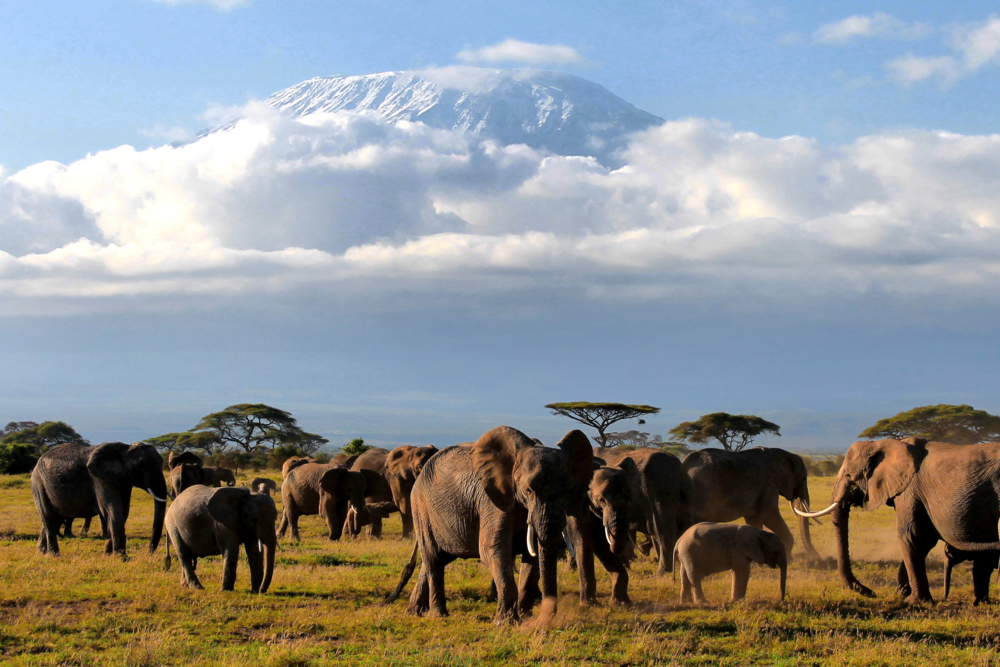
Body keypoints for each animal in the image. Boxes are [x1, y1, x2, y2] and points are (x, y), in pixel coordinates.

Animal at [31, 444, 168, 560]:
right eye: (141, 466)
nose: (149, 553)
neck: (125, 450)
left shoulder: (123, 481)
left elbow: (123, 512)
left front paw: (108, 555)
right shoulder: (99, 479)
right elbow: (113, 510)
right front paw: (122, 558)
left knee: (56, 519)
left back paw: (41, 552)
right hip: (39, 484)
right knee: (48, 517)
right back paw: (53, 555)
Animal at [388, 428, 592, 628]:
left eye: (568, 491)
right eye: (528, 490)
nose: (543, 621)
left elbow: (531, 557)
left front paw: (525, 619)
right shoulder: (491, 502)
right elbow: (493, 550)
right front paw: (506, 623)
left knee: (434, 560)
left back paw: (414, 612)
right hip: (421, 508)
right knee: (432, 557)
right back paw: (438, 615)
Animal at [684, 446, 816, 560]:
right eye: (803, 478)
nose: (818, 558)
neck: (781, 454)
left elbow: (754, 519)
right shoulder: (769, 484)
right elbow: (768, 516)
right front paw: (788, 560)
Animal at [796, 438, 1000, 604]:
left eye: (848, 476)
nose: (871, 593)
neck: (887, 443)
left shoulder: (910, 490)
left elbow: (912, 537)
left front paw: (915, 601)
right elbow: (917, 541)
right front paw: (901, 594)